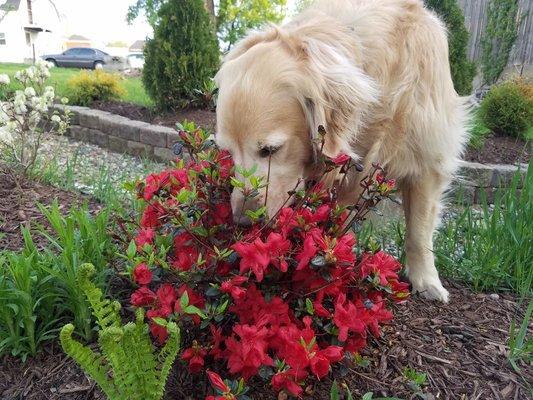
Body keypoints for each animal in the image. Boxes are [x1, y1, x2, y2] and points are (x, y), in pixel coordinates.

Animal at [214, 0, 468, 302]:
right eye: (229, 152)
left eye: (270, 150)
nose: (242, 221)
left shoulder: (428, 157)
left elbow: (419, 230)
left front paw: (426, 280)